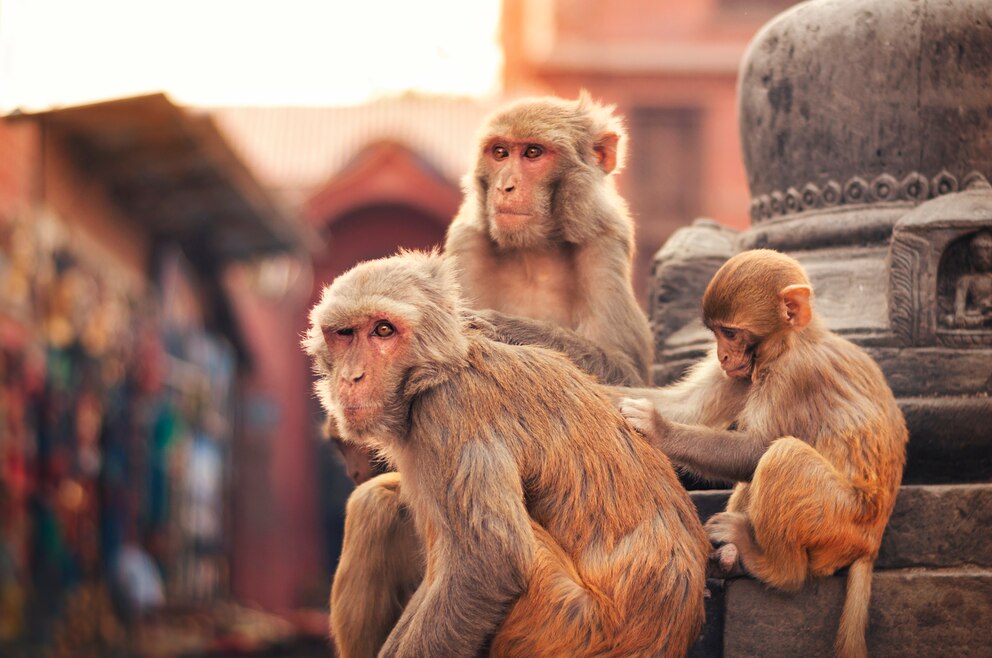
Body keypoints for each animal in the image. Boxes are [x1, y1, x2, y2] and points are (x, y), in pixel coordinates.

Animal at [620, 249, 908, 652]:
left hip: (841, 522)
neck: (790, 343)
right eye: (716, 334)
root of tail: (870, 544)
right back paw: (730, 560)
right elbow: (689, 407)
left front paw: (658, 428)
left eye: (730, 333)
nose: (723, 357)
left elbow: (756, 450)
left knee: (783, 457)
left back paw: (773, 567)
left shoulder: (794, 375)